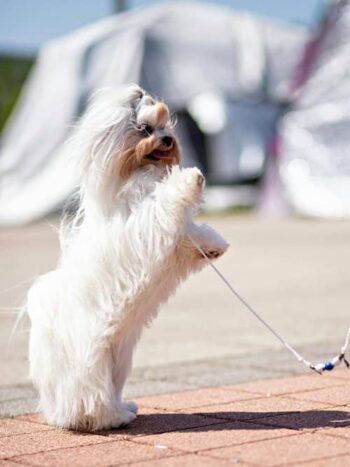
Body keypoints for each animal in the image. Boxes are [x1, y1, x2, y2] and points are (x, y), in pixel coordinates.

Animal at [27, 84, 230, 432]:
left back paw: (122, 408)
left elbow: (190, 234)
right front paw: (191, 179)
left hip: (119, 360)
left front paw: (214, 245)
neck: (138, 173)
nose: (168, 139)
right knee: (88, 396)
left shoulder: (174, 241)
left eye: (166, 125)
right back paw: (106, 418)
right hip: (92, 362)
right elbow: (167, 202)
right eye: (145, 129)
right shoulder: (147, 223)